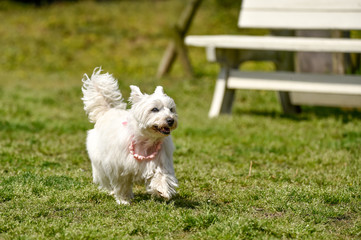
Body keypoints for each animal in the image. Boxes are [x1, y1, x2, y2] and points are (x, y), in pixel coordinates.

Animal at [81, 67, 178, 204]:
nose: (171, 120)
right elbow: (122, 184)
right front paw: (123, 200)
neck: (146, 141)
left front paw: (163, 190)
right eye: (154, 109)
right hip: (100, 160)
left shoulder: (161, 161)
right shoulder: (119, 167)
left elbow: (162, 176)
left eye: (171, 109)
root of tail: (107, 111)